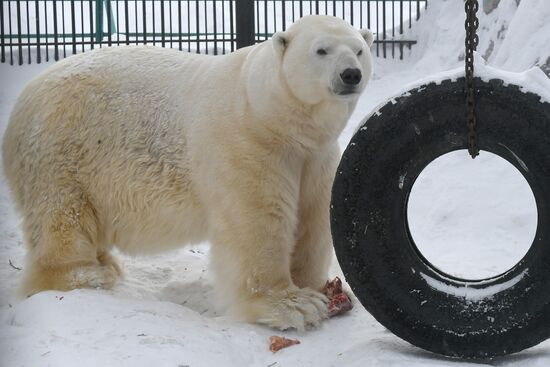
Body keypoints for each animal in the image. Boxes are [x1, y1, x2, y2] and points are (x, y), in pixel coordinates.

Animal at [2, 15, 376, 330]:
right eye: (321, 50)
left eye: (359, 49)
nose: (350, 74)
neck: (270, 113)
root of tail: (22, 102)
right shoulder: (246, 144)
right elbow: (258, 220)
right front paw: (292, 304)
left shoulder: (314, 156)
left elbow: (314, 215)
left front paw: (322, 289)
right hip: (61, 153)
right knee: (64, 218)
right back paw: (86, 275)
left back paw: (105, 263)